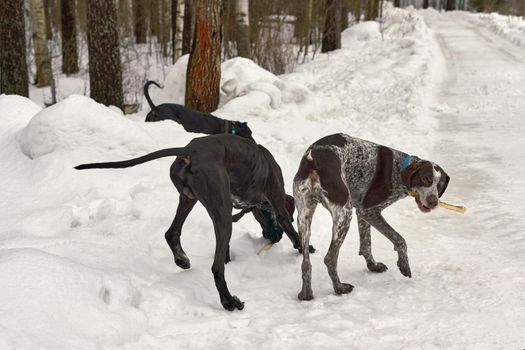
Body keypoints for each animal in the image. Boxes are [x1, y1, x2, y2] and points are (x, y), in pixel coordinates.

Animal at [75, 135, 314, 312]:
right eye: (267, 217)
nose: (273, 237)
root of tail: (190, 151)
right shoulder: (276, 201)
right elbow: (291, 228)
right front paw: (304, 247)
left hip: (190, 199)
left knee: (171, 233)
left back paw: (182, 259)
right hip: (220, 212)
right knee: (216, 268)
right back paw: (229, 301)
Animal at [292, 133, 448, 300]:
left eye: (440, 186)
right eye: (426, 179)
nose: (433, 202)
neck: (399, 168)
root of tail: (313, 161)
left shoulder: (361, 212)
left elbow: (366, 244)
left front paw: (373, 266)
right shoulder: (369, 211)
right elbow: (400, 240)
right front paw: (404, 264)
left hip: (304, 217)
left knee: (306, 263)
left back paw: (306, 293)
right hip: (344, 215)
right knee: (330, 258)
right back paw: (339, 288)